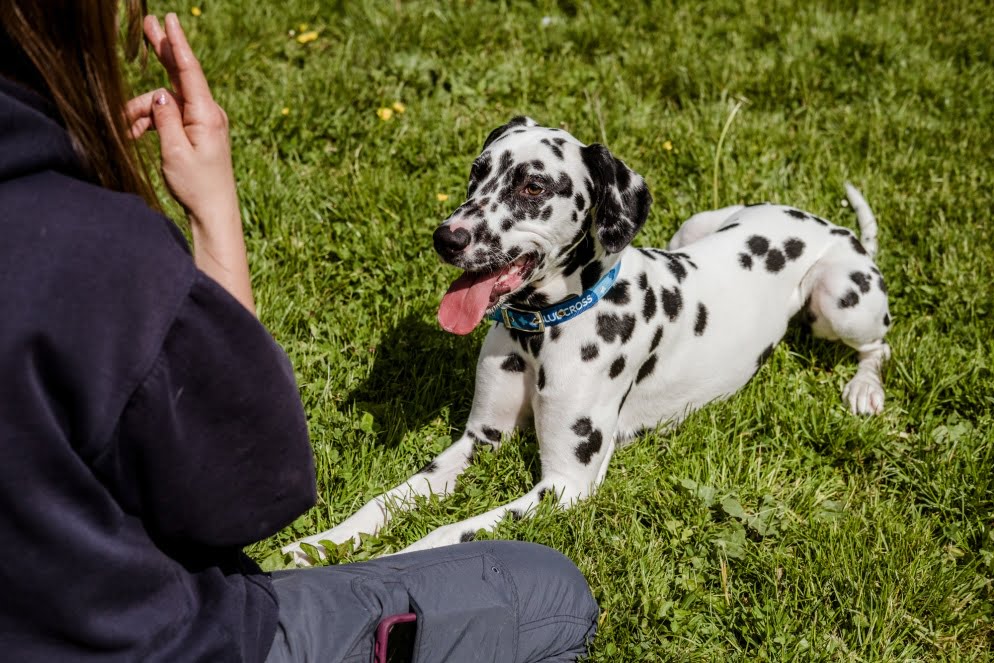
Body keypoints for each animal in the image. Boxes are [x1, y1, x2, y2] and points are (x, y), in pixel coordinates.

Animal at [280, 116, 892, 564]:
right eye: (476, 173)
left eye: (533, 185)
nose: (446, 238)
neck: (542, 330)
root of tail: (832, 226)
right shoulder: (477, 441)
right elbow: (387, 499)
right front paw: (319, 544)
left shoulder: (564, 485)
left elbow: (452, 533)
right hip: (695, 226)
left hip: (841, 299)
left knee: (878, 345)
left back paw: (864, 390)